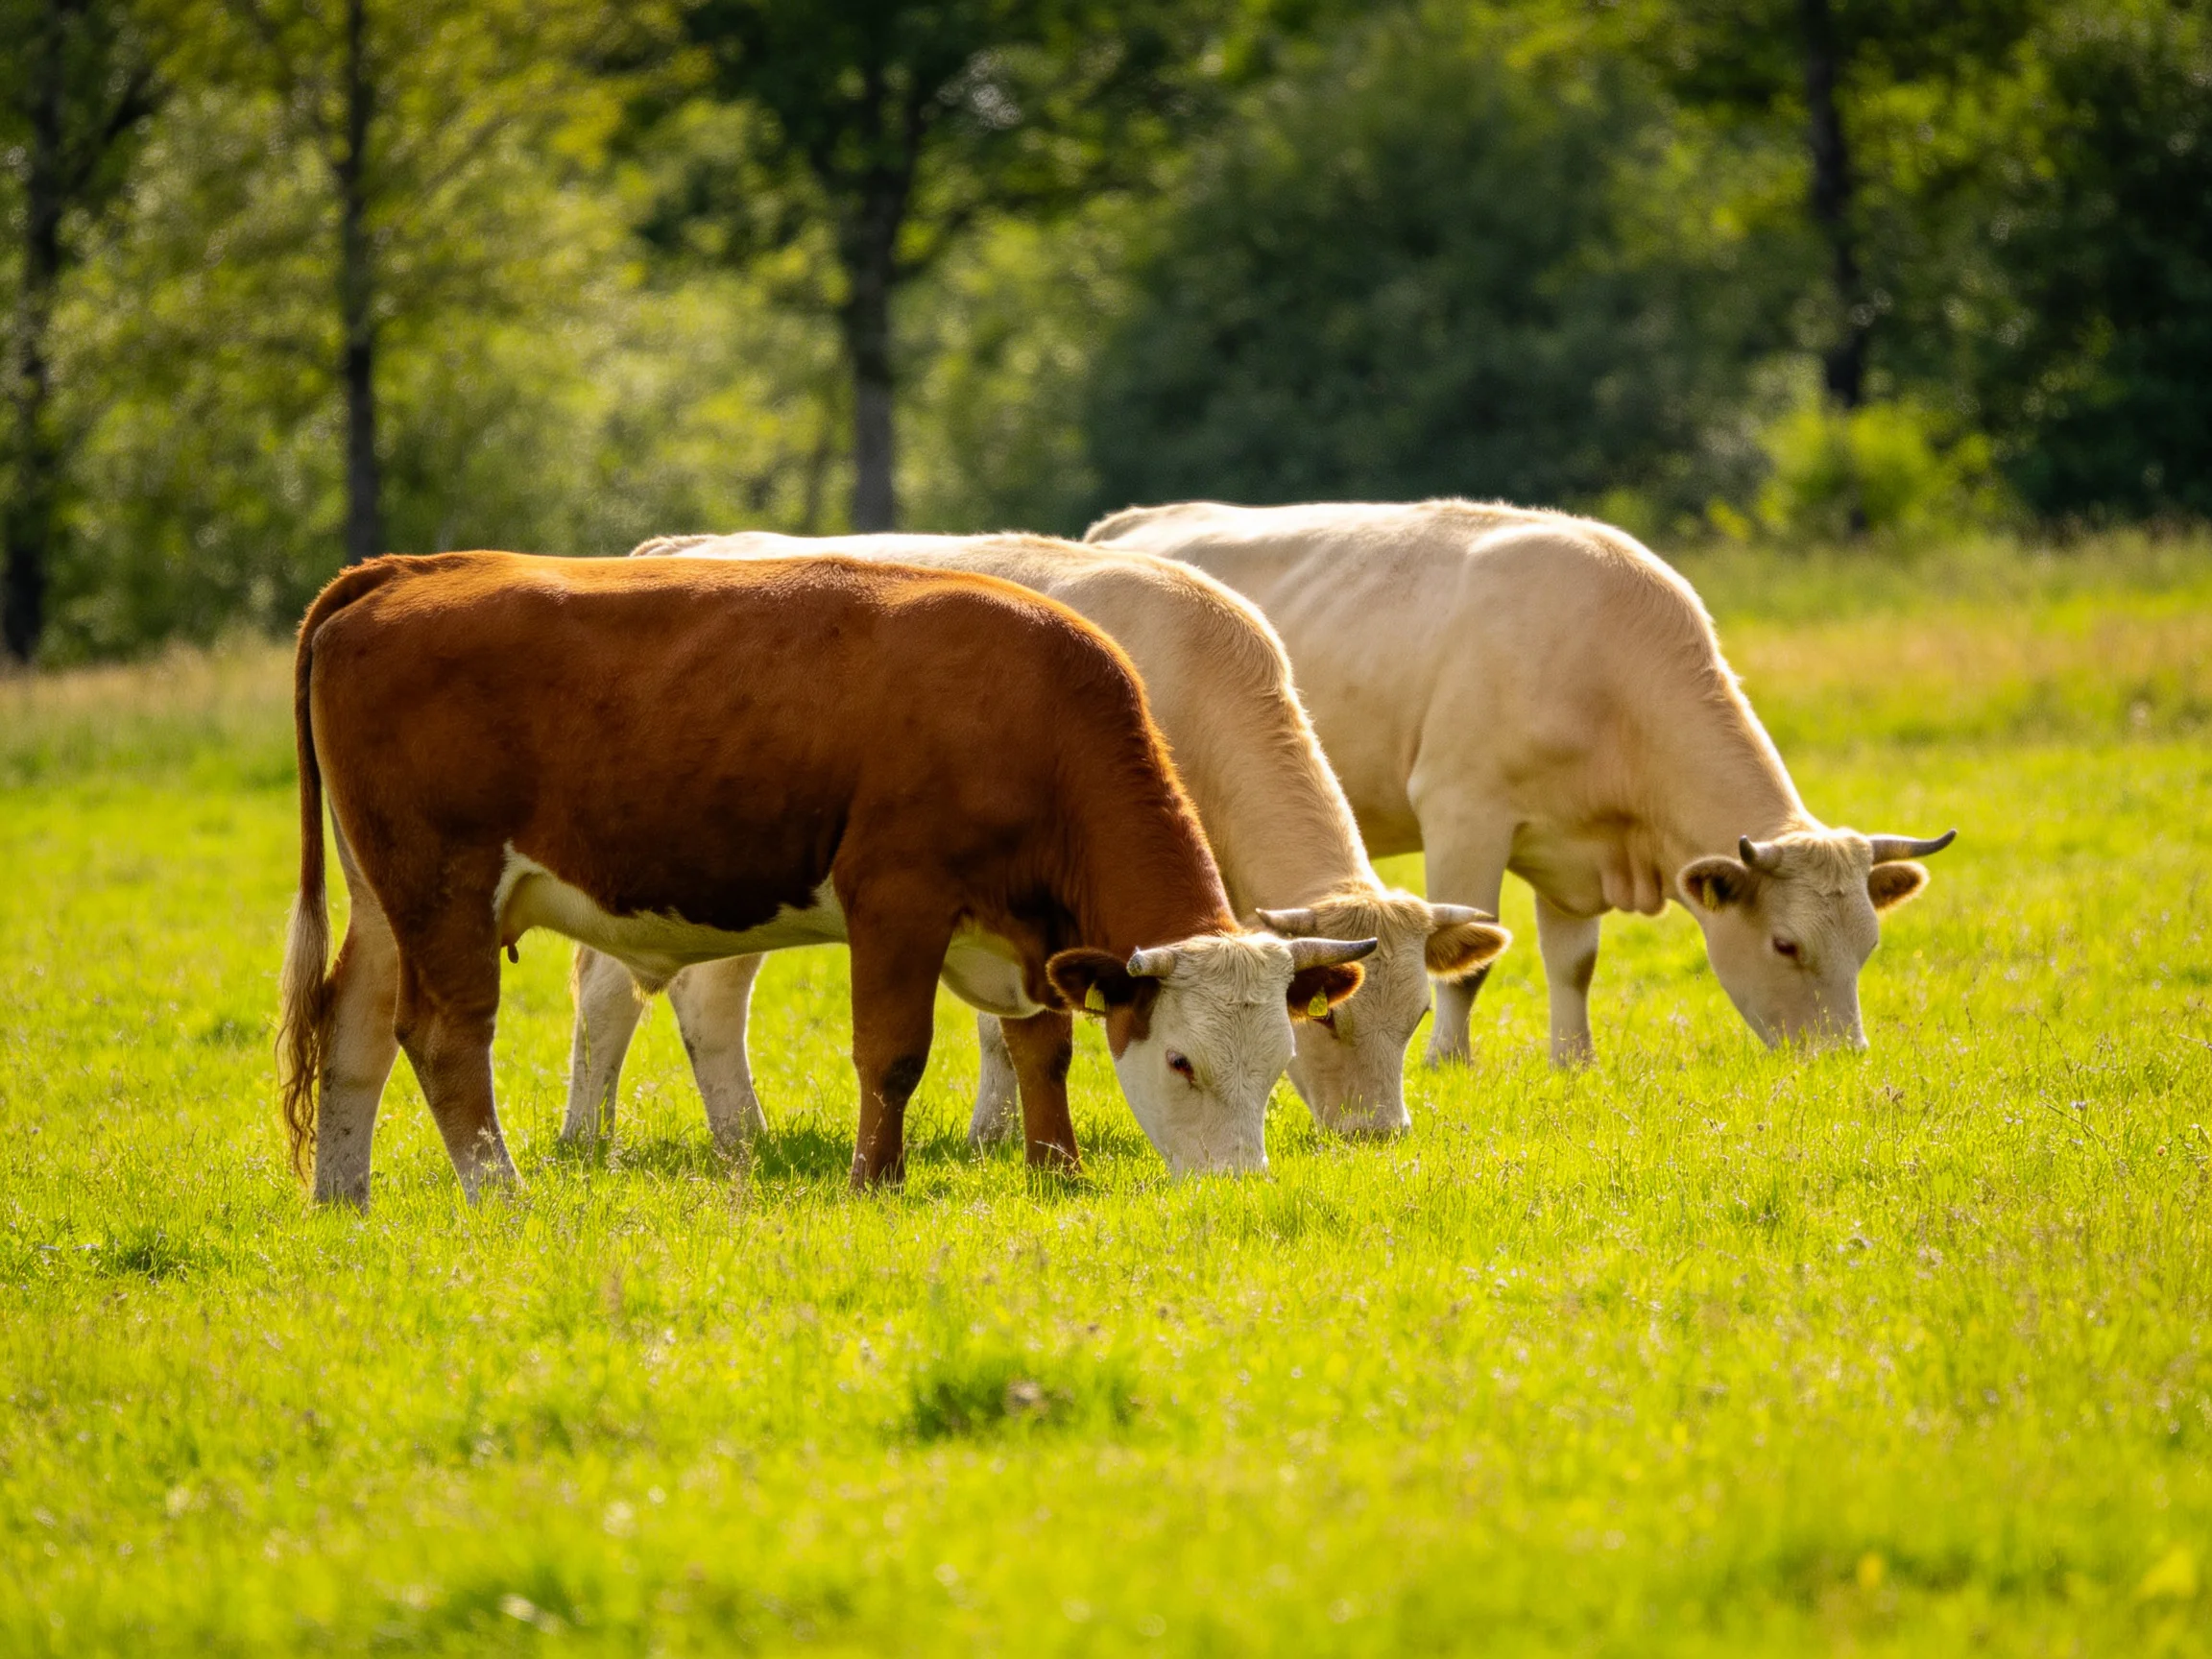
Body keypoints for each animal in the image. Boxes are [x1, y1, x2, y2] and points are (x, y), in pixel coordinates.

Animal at [275, 551, 1378, 1203]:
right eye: (1182, 1061)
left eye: (1282, 1060)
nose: (1238, 1185)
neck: (1029, 713)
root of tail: (407, 571)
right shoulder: (897, 898)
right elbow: (893, 1053)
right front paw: (873, 1179)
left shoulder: (1031, 937)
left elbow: (1044, 1048)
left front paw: (1054, 1169)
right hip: (443, 886)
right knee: (446, 1037)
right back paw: (498, 1192)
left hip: (384, 898)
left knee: (354, 1029)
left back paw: (343, 1197)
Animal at [565, 532, 1509, 1153]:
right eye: (1332, 1021)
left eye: (1416, 1020)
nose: (1379, 1135)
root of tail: (681, 544)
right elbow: (1002, 1032)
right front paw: (992, 1134)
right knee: (610, 997)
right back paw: (588, 1136)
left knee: (709, 1002)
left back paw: (744, 1140)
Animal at [1086, 499, 1958, 1063]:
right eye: (1785, 943)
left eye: (1870, 945)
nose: (1842, 1056)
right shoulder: (1463, 815)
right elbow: (1470, 966)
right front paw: (1448, 1060)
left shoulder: (1574, 852)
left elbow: (1573, 964)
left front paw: (1574, 1061)